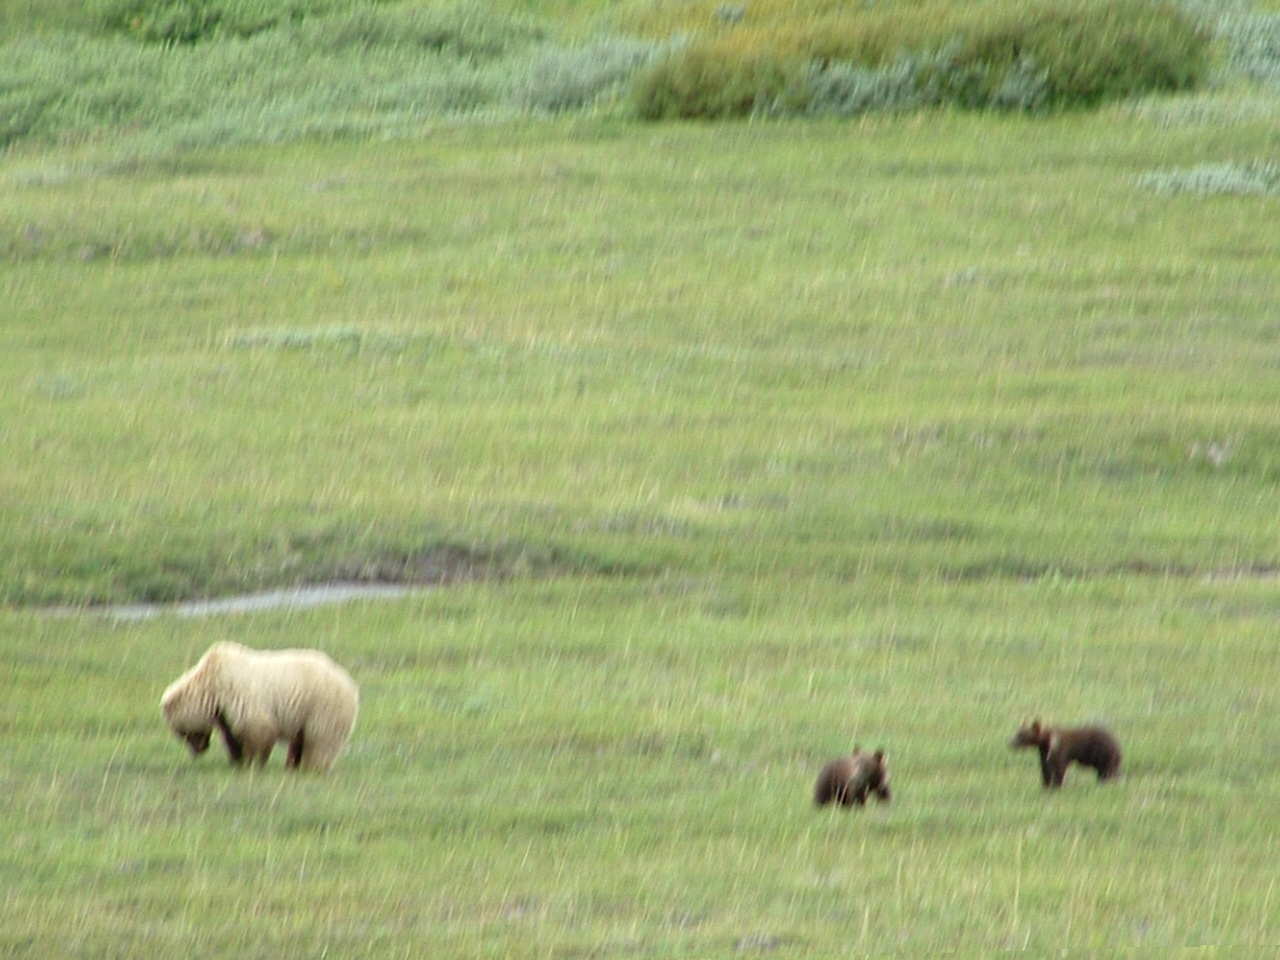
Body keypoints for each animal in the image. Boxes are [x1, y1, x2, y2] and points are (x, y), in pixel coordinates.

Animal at [162, 642, 360, 778]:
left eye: (182, 732)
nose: (199, 750)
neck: (211, 690)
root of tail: (350, 684)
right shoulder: (223, 711)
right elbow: (231, 735)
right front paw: (237, 761)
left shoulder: (239, 695)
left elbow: (257, 728)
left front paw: (253, 762)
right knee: (300, 739)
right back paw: (292, 765)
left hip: (322, 706)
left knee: (319, 740)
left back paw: (310, 767)